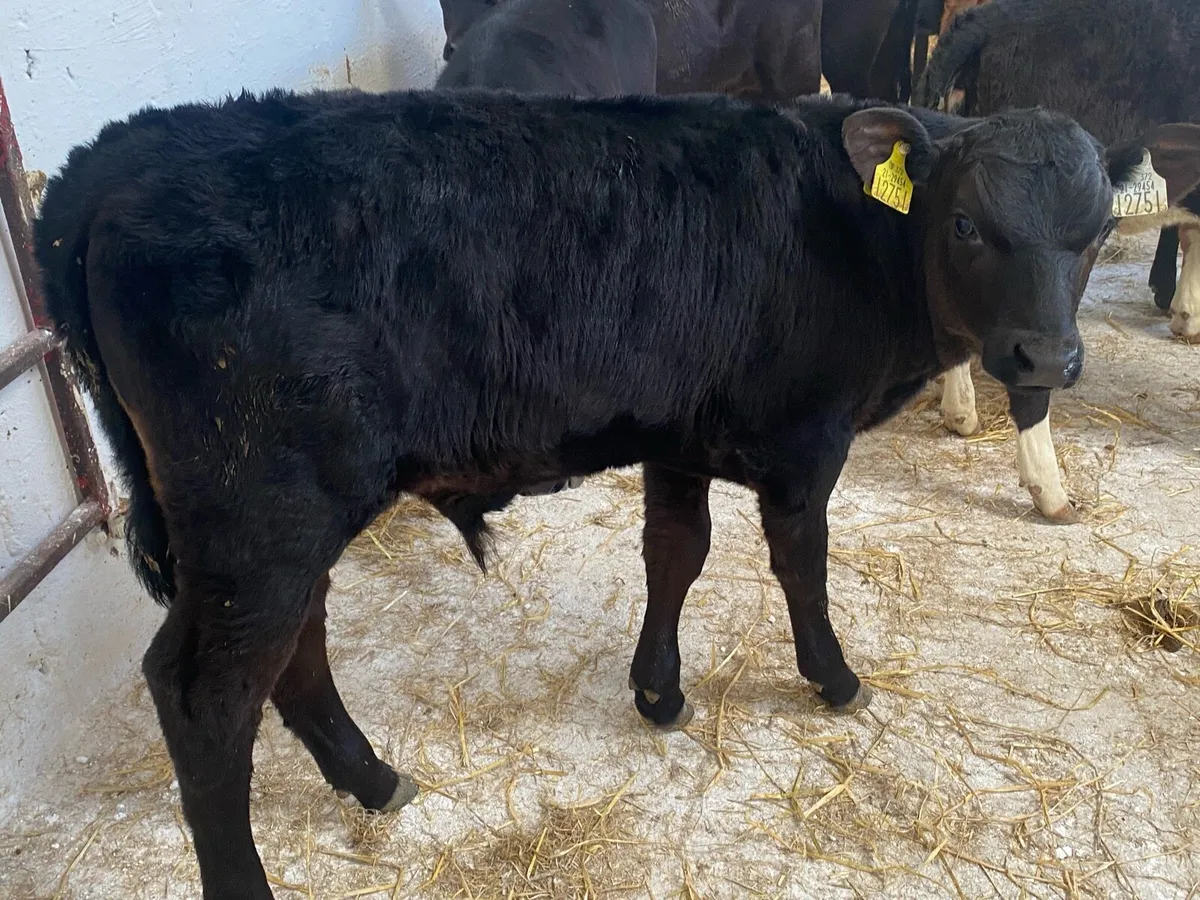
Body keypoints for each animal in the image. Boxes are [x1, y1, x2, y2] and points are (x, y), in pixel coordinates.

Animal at [35, 87, 1196, 899]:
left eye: (1095, 233)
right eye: (965, 225)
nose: (1044, 358)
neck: (854, 238)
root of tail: (120, 153)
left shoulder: (682, 433)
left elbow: (675, 553)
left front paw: (658, 692)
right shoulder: (803, 442)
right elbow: (800, 568)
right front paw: (833, 679)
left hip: (283, 517)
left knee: (294, 648)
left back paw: (372, 780)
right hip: (259, 510)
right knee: (206, 692)